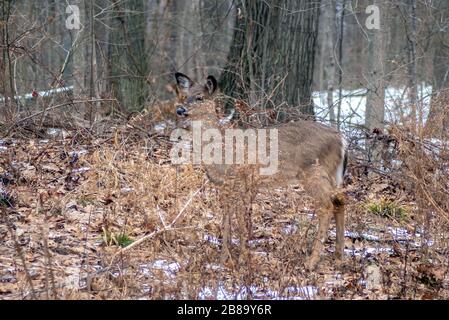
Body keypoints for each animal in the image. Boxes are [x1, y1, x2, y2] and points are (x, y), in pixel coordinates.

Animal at [172, 71, 346, 268]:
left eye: (200, 97)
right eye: (185, 96)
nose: (180, 110)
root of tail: (342, 139)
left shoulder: (240, 180)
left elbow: (240, 222)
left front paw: (241, 258)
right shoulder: (225, 186)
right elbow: (226, 221)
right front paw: (224, 258)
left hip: (314, 173)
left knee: (327, 206)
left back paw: (311, 261)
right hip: (333, 176)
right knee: (340, 202)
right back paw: (339, 256)